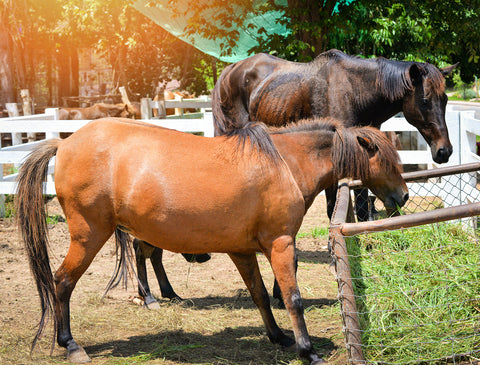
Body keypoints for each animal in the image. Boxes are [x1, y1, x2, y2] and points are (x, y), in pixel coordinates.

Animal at [14, 118, 404, 362]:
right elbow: (292, 299)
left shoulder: (242, 251)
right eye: (387, 161)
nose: (402, 196)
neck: (284, 164)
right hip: (89, 235)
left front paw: (278, 337)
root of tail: (64, 142)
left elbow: (260, 295)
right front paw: (307, 351)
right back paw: (70, 344)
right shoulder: (280, 244)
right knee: (62, 282)